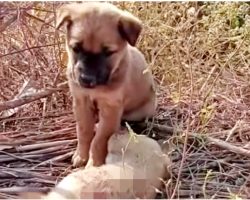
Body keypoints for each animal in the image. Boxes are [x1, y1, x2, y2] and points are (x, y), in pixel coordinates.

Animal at [56, 2, 156, 167]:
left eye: (108, 52)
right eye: (76, 48)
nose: (86, 79)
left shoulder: (111, 108)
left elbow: (99, 140)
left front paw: (94, 163)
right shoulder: (81, 101)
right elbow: (83, 131)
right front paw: (81, 156)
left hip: (140, 112)